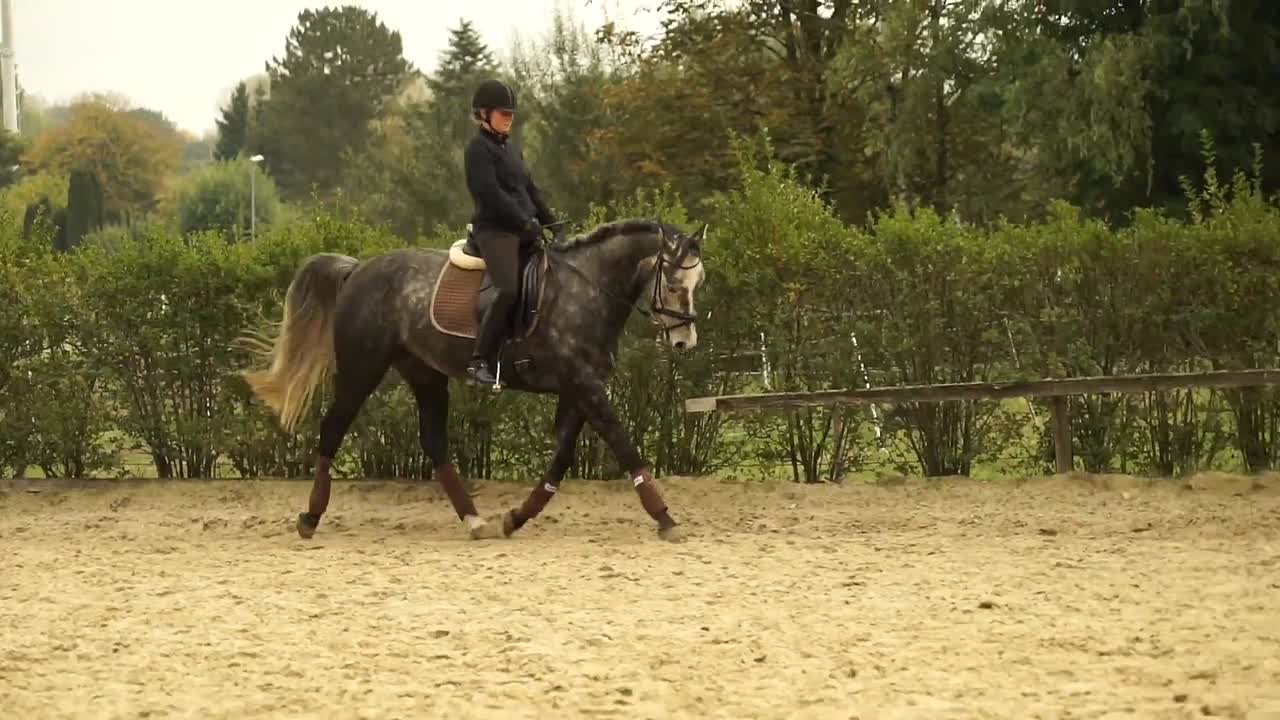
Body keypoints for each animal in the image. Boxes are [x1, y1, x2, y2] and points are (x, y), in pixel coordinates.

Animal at [239, 218, 707, 542]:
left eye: (697, 281)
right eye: (674, 283)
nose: (685, 342)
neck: (586, 292)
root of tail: (358, 269)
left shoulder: (579, 389)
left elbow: (562, 457)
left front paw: (516, 518)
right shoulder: (585, 387)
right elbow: (624, 445)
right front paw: (665, 517)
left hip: (424, 374)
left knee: (434, 442)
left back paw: (473, 519)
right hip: (362, 368)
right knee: (333, 428)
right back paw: (310, 517)